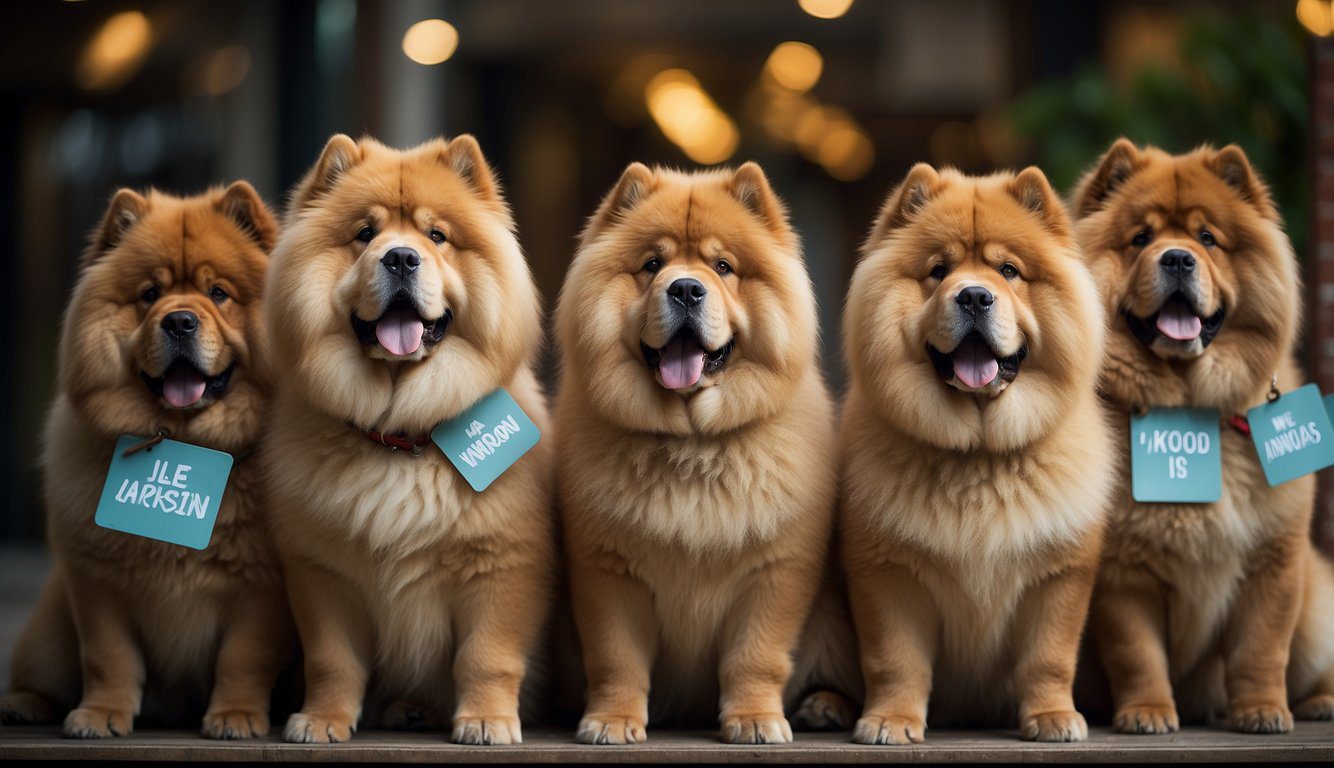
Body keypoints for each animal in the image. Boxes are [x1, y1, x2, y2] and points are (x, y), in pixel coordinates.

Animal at [0, 182, 292, 736]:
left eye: (218, 293)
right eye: (150, 295)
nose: (179, 320)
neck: (184, 442)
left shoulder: (262, 592)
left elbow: (243, 659)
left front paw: (235, 716)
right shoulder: (97, 586)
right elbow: (108, 657)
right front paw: (100, 714)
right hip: (49, 629)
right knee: (39, 672)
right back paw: (22, 703)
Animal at [837, 163, 1109, 746]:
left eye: (1009, 270)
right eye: (938, 271)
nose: (975, 297)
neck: (979, 457)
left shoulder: (1060, 577)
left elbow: (1048, 657)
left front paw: (1053, 718)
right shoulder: (887, 574)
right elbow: (896, 660)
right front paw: (891, 722)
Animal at [1072, 138, 1334, 730]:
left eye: (1208, 238)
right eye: (1141, 238)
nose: (1176, 257)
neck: (1188, 408)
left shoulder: (1273, 564)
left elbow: (1262, 648)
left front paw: (1261, 711)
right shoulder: (1124, 576)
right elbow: (1138, 653)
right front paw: (1147, 712)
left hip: (1315, 613)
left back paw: (1319, 701)